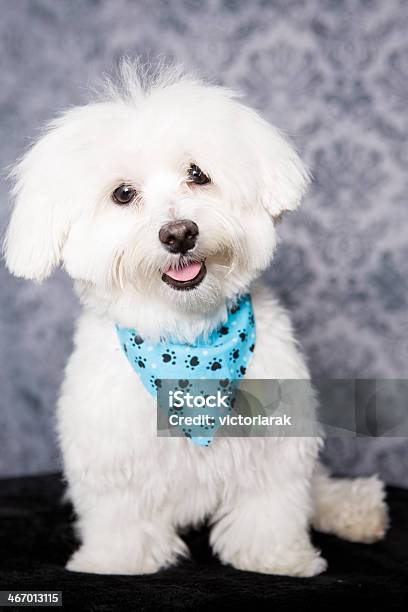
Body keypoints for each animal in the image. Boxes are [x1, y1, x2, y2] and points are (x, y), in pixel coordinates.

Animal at [4, 64, 388, 576]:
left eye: (197, 174)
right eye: (123, 194)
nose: (179, 233)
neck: (187, 339)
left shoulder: (274, 443)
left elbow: (272, 504)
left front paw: (275, 558)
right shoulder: (111, 451)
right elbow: (120, 512)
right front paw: (117, 560)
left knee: (317, 488)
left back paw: (355, 509)